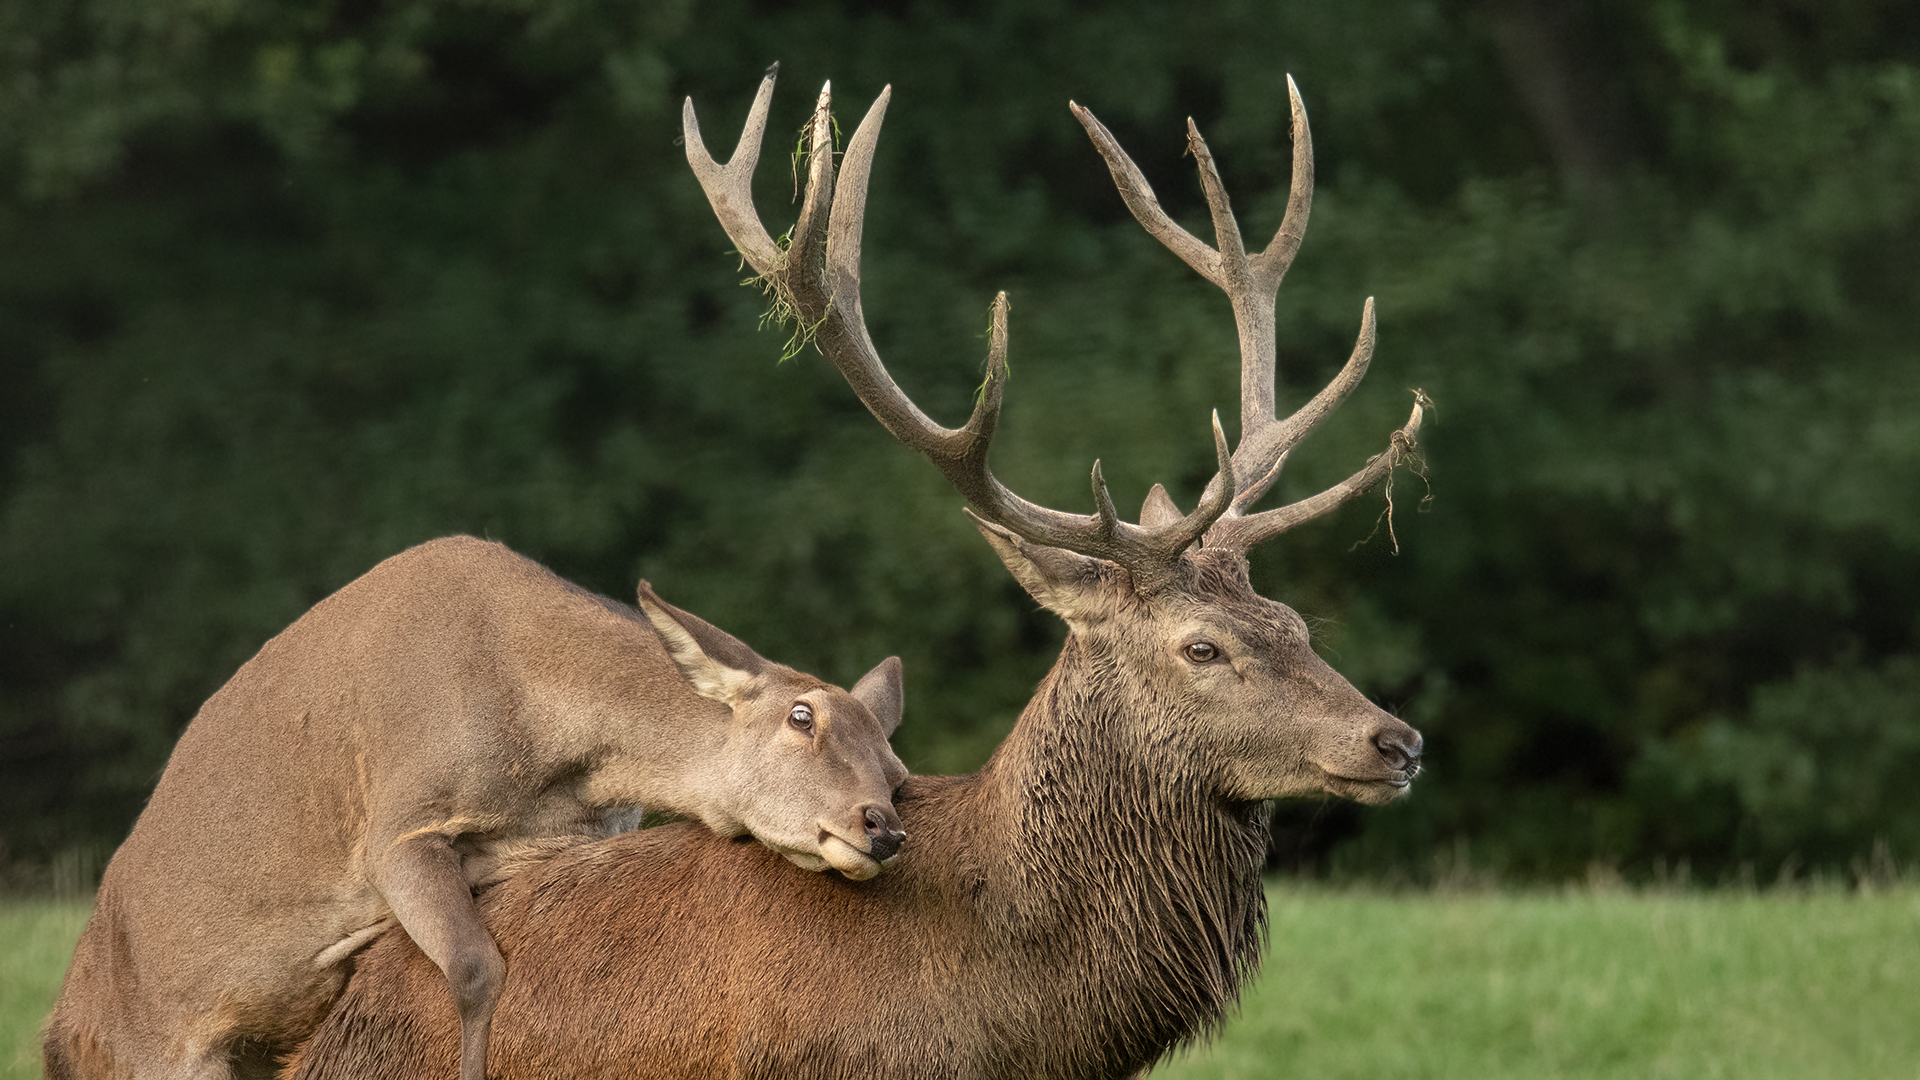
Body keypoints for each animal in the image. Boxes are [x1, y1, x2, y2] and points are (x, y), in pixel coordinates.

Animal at [39, 534, 906, 1076]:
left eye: (896, 764)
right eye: (802, 716)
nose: (884, 828)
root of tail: (61, 1032)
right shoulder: (397, 824)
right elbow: (476, 970)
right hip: (153, 1052)